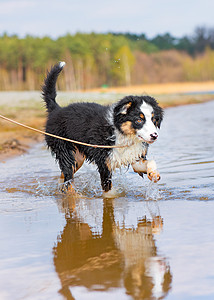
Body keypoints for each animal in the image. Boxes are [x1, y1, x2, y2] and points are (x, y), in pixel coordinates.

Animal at [42, 62, 165, 198]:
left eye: (154, 120)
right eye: (139, 120)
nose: (154, 135)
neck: (120, 133)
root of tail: (56, 109)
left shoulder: (134, 156)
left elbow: (149, 162)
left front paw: (154, 174)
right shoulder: (104, 162)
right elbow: (108, 189)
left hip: (77, 158)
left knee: (64, 177)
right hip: (64, 150)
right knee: (68, 180)